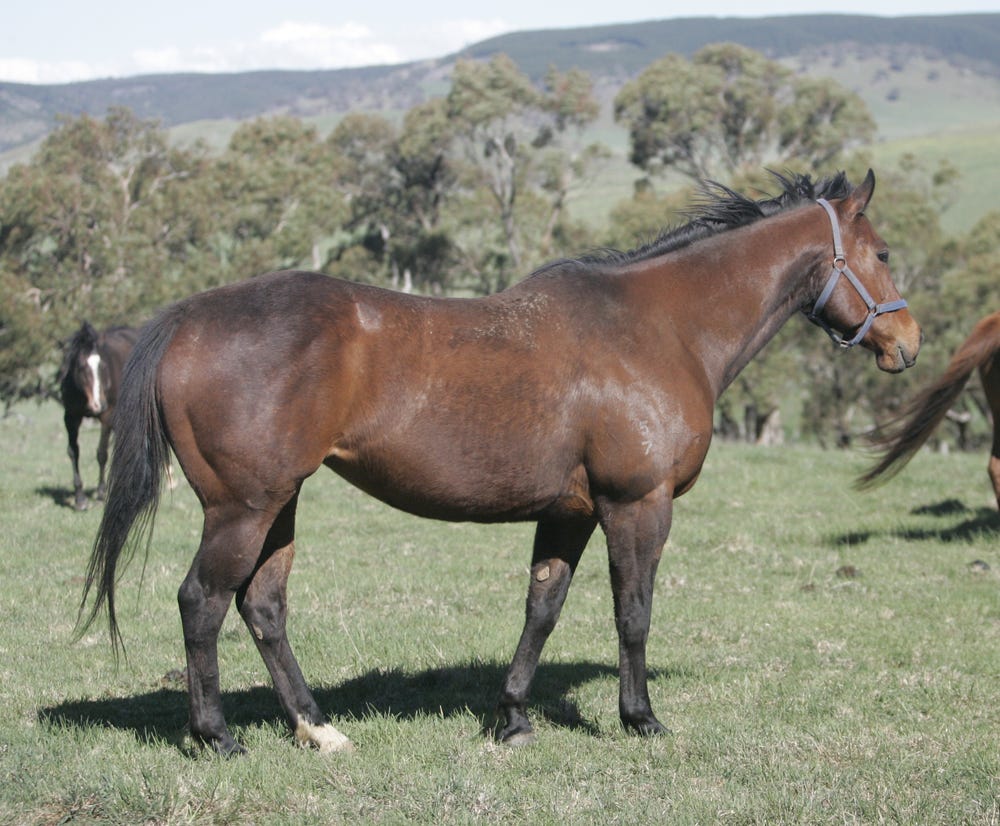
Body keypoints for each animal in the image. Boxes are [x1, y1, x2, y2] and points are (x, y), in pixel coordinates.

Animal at [58, 322, 139, 510]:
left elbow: (102, 453)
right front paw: (80, 498)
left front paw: (101, 492)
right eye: (81, 367)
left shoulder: (107, 417)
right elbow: (73, 451)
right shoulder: (70, 417)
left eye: (102, 366)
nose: (98, 404)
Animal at [78, 169, 921, 756]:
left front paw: (512, 717)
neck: (658, 326)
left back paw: (320, 729)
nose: (908, 341)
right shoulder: (636, 504)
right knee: (202, 601)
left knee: (263, 606)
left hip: (278, 503)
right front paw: (640, 718)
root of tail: (189, 317)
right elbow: (634, 611)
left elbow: (542, 608)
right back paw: (217, 736)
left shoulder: (571, 512)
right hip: (243, 507)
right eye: (882, 252)